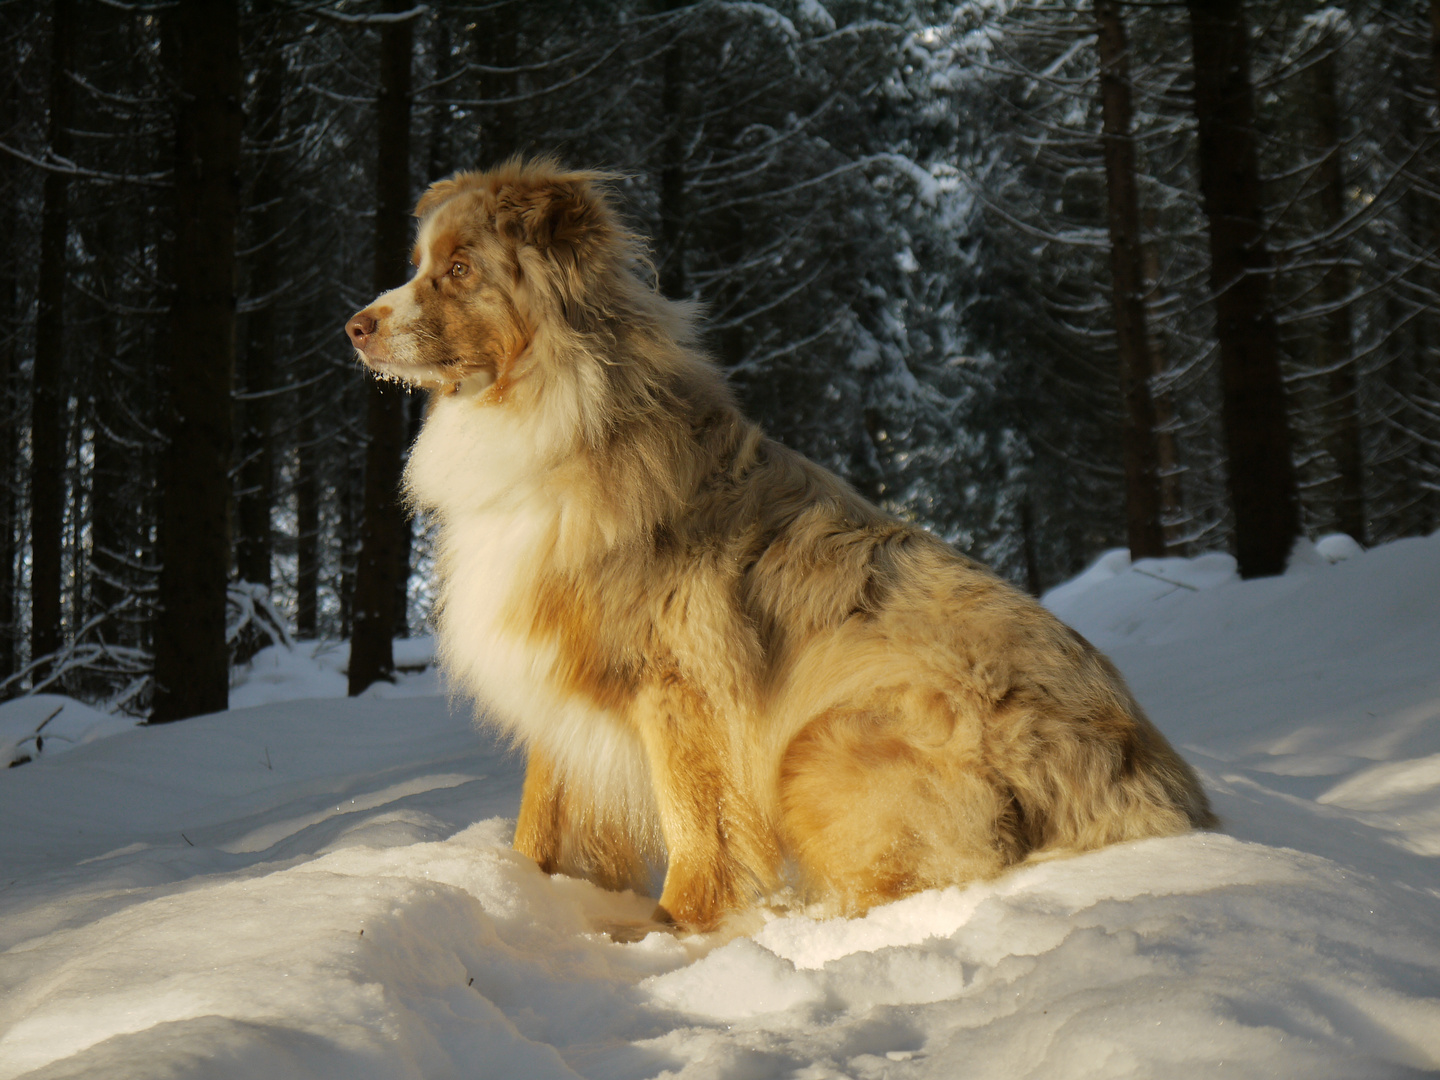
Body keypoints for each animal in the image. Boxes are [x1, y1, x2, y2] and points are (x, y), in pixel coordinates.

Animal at [348, 156, 1215, 933]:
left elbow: (696, 824)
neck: (558, 411)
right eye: (420, 265)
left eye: (461, 269)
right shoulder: (559, 672)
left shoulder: (682, 683)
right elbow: (543, 814)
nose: (355, 325)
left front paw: (668, 933)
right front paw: (514, 889)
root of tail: (1157, 796)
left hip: (823, 745)